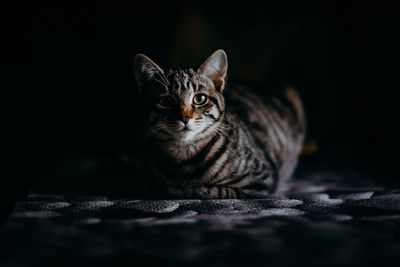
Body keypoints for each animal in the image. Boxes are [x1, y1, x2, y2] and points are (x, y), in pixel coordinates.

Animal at [134, 49, 306, 199]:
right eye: (166, 101)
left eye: (199, 98)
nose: (185, 117)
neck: (184, 157)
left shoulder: (260, 181)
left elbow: (212, 190)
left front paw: (179, 188)